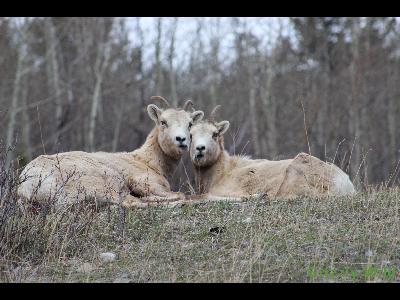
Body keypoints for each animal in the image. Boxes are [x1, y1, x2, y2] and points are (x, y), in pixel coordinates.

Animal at [16, 96, 203, 209]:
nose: (181, 139)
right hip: (111, 181)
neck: (147, 161)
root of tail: (29, 184)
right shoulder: (144, 182)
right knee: (131, 202)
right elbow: (179, 193)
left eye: (190, 124)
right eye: (163, 122)